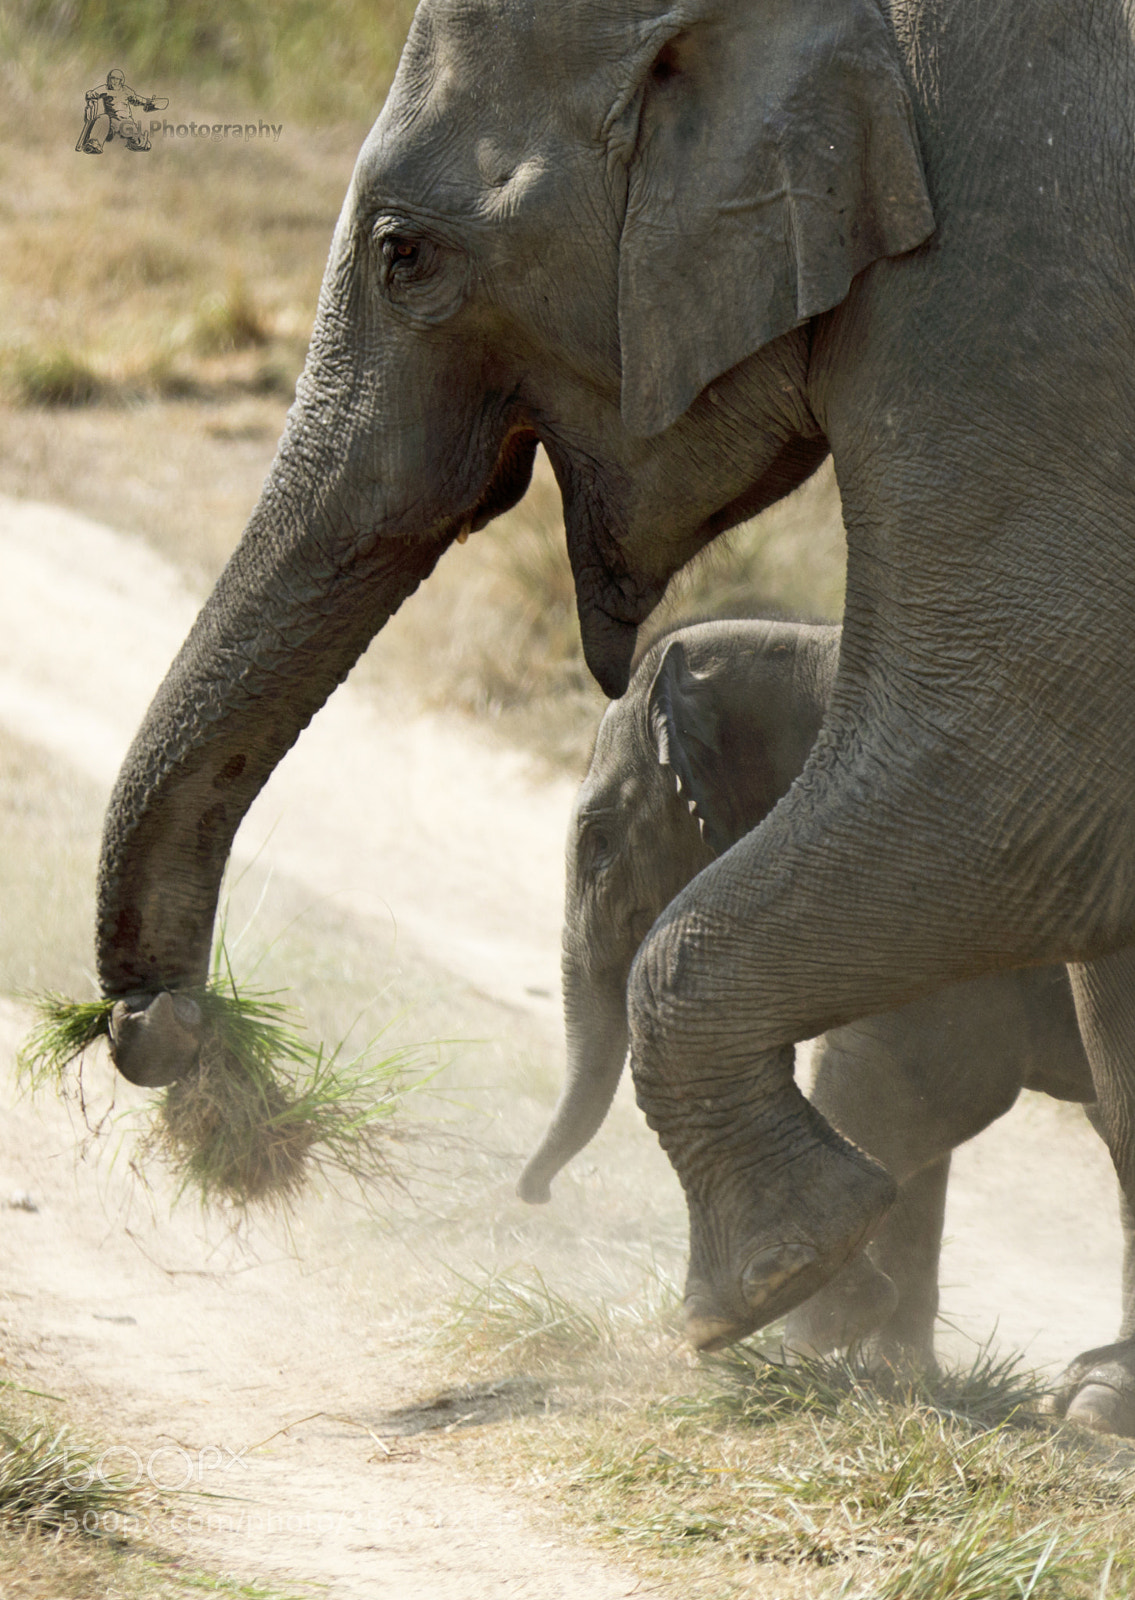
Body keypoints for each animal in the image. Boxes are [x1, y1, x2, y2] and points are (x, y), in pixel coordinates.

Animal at [519, 618, 1134, 1428]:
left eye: (597, 842)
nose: (535, 1195)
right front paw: (895, 1376)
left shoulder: (926, 873)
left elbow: (911, 1080)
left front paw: (799, 1343)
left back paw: (1092, 1406)